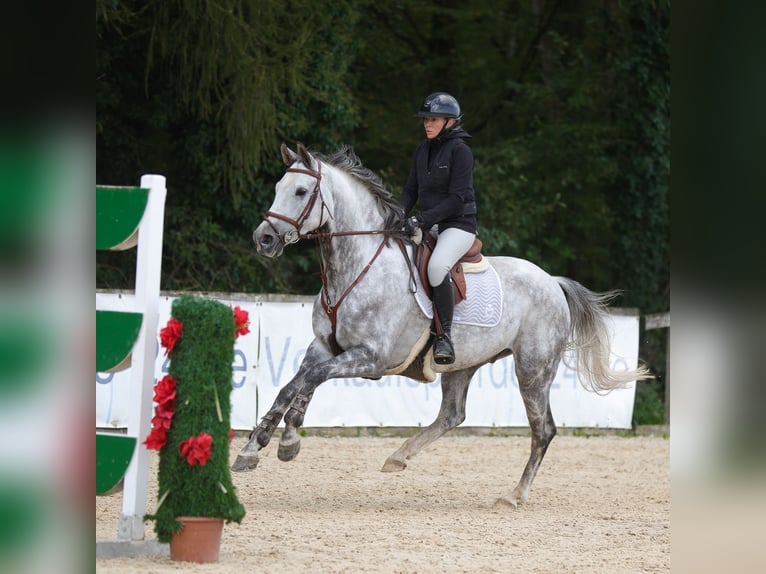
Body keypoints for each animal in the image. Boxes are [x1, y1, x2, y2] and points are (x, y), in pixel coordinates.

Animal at [231, 144, 652, 508]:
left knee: (542, 430)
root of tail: (552, 282)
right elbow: (293, 384)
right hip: (463, 365)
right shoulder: (322, 346)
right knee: (452, 415)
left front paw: (287, 439)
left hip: (533, 368)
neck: (357, 267)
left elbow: (310, 379)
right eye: (277, 188)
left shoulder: (370, 358)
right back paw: (398, 456)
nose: (263, 239)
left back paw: (514, 495)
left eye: (301, 191)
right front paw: (256, 446)